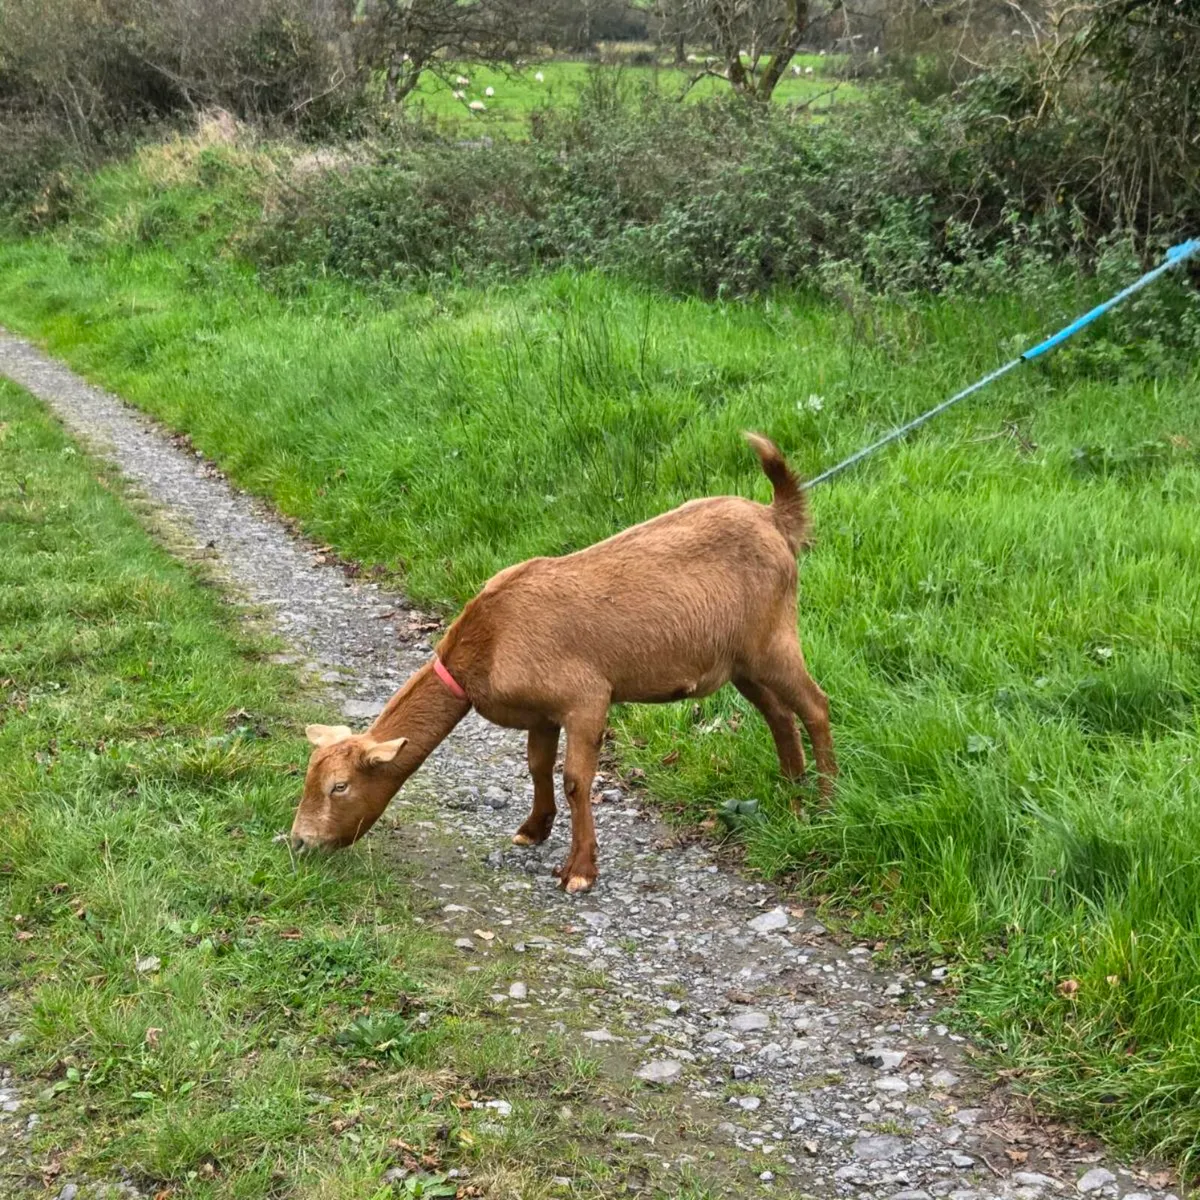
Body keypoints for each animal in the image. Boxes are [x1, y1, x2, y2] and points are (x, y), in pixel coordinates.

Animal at [290, 434, 837, 893]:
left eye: (340, 786)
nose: (298, 842)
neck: (487, 644)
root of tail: (775, 518)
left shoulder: (585, 697)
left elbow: (576, 780)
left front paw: (579, 871)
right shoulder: (541, 711)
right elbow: (536, 765)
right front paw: (533, 829)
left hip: (773, 637)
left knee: (815, 706)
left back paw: (827, 804)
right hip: (740, 661)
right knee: (779, 715)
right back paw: (792, 796)